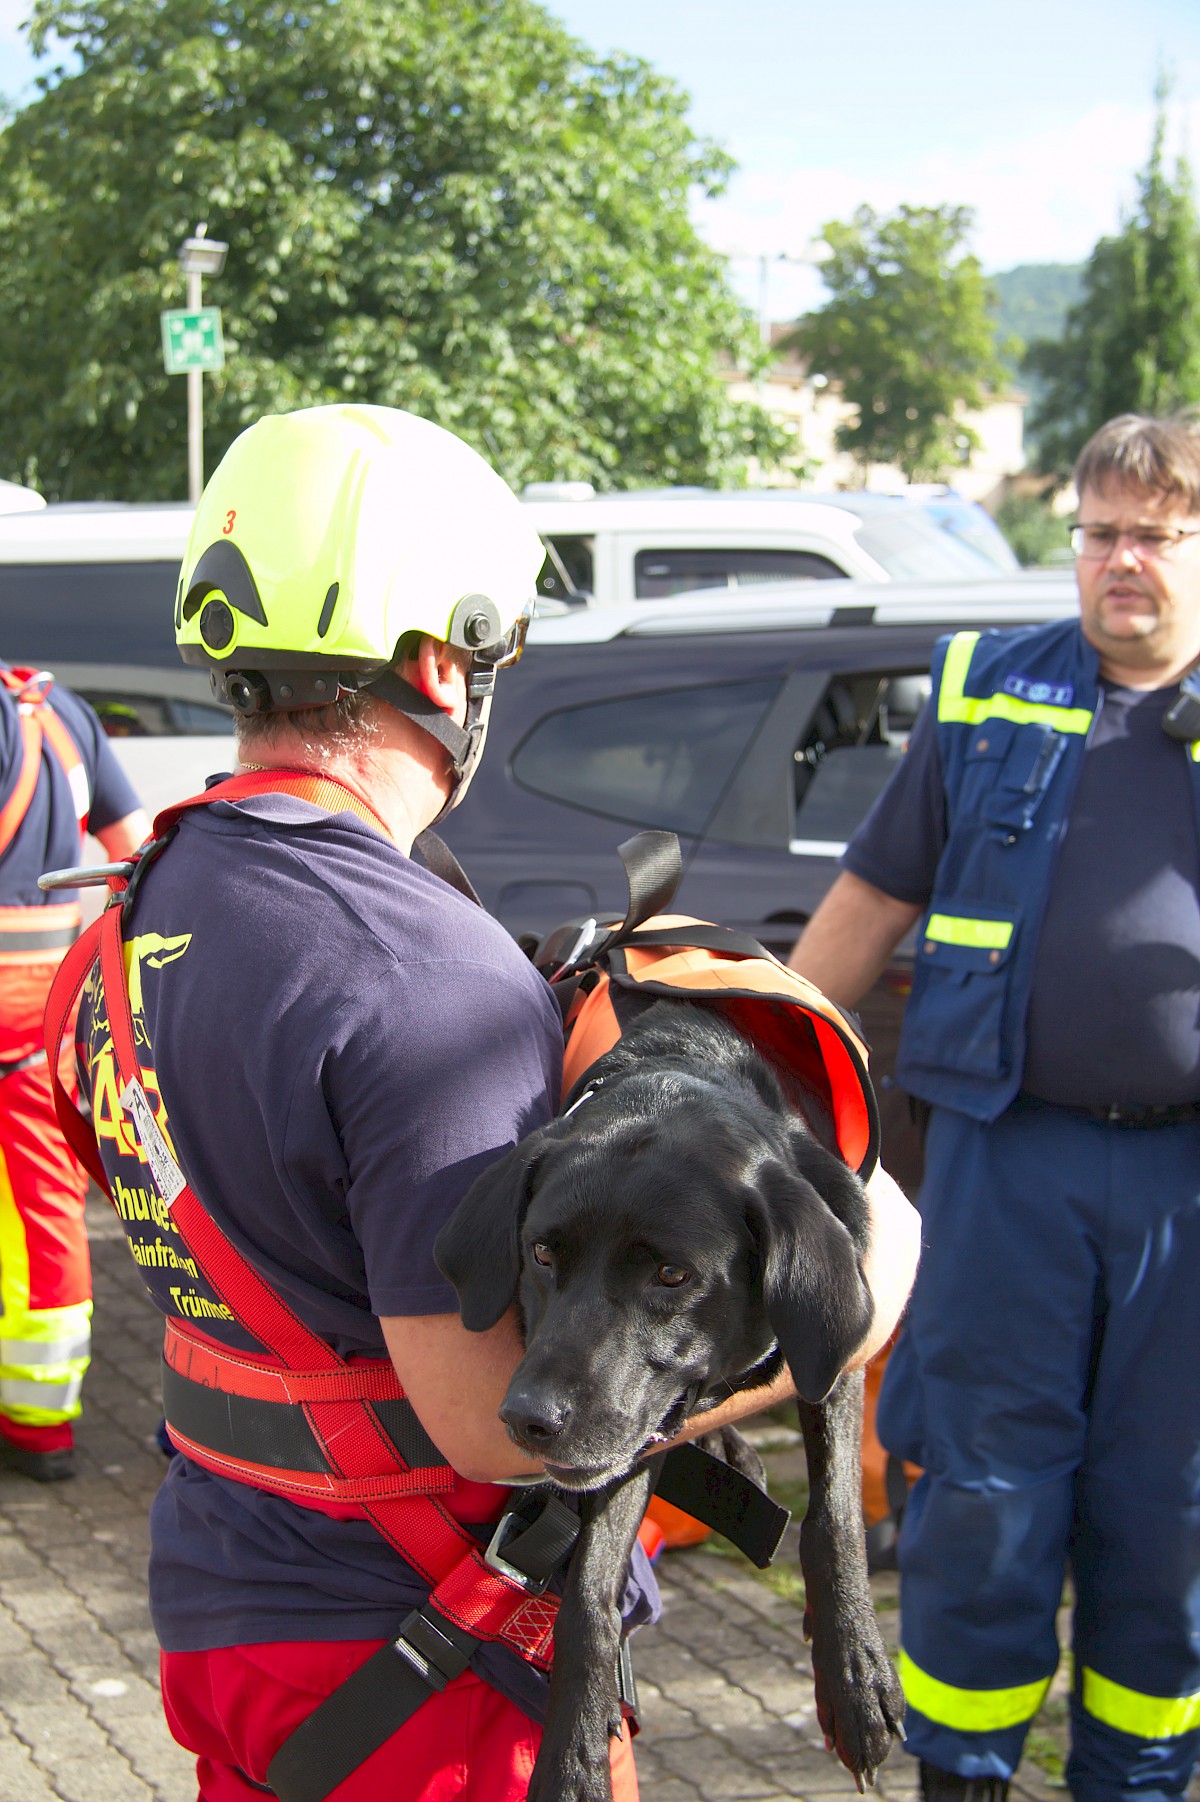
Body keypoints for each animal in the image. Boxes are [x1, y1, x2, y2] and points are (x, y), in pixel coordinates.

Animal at [434, 1001, 900, 1802]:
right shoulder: (622, 1443)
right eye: (542, 1253)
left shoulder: (836, 1353)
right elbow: (588, 1595)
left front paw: (854, 1674)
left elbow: (835, 1515)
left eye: (673, 1275)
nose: (527, 1419)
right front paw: (574, 1758)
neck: (681, 1070)